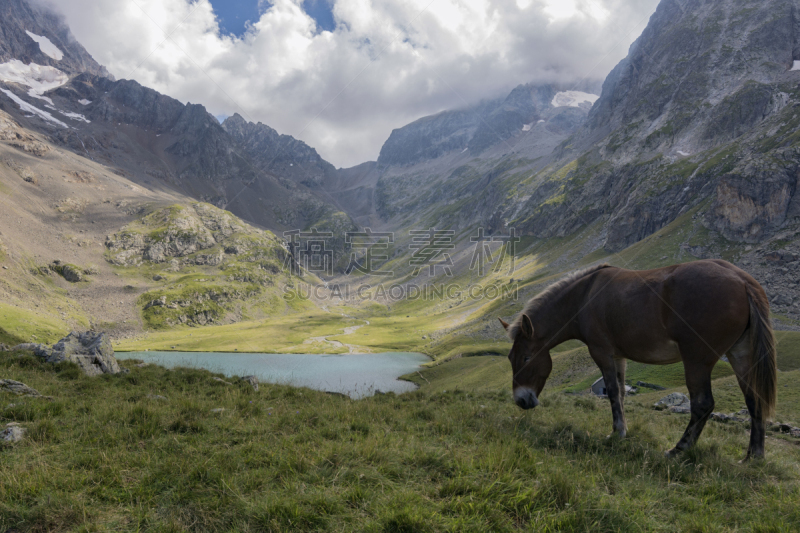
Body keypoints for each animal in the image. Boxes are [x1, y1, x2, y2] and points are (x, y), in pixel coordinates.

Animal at [500, 260, 776, 460]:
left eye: (526, 357)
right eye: (511, 358)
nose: (521, 400)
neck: (583, 297)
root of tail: (742, 280)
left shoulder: (601, 352)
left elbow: (612, 392)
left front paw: (616, 433)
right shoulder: (619, 356)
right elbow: (621, 393)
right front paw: (622, 430)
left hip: (697, 361)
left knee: (702, 404)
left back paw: (678, 449)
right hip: (740, 356)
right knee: (754, 401)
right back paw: (753, 456)